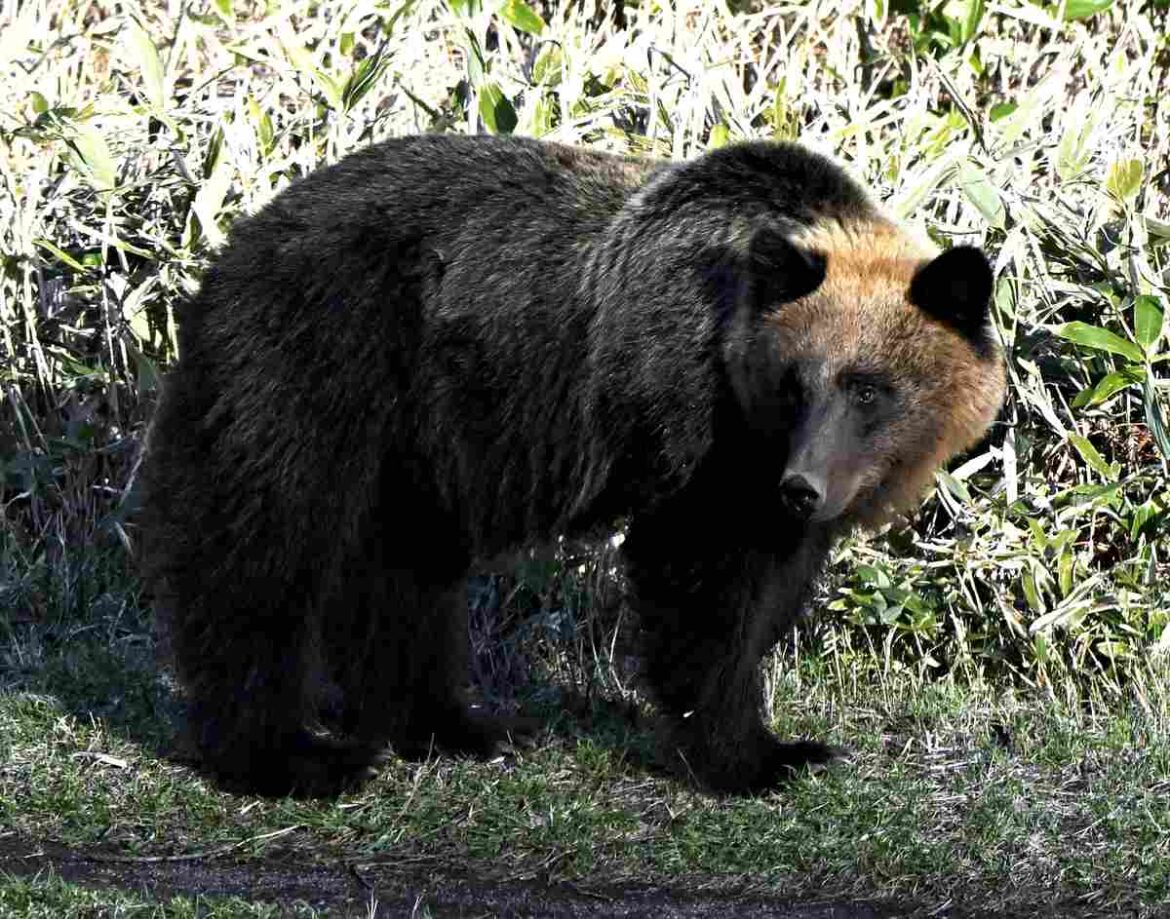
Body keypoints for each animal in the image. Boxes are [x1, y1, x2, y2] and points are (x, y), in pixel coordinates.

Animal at [137, 135, 1005, 797]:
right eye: (796, 381)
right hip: (316, 361)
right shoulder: (701, 423)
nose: (803, 487)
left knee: (402, 574)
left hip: (417, 444)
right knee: (262, 546)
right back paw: (289, 756)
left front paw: (784, 740)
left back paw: (456, 725)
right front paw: (751, 756)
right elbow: (700, 578)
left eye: (869, 387)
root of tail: (234, 243)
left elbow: (767, 584)